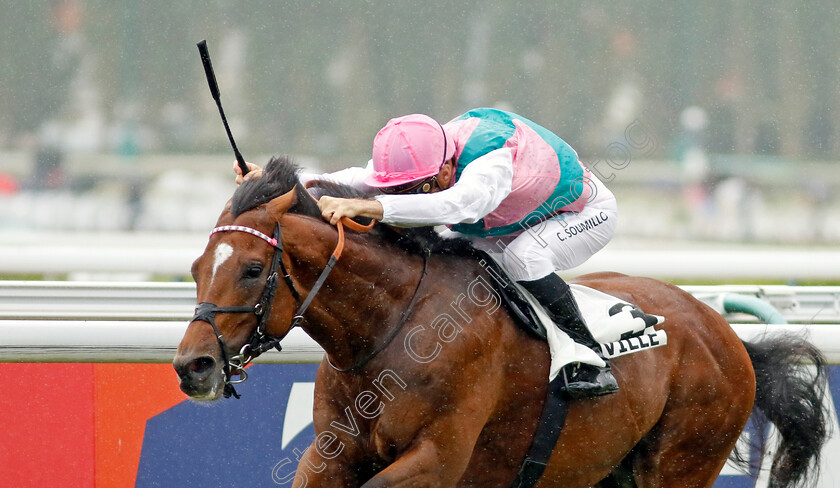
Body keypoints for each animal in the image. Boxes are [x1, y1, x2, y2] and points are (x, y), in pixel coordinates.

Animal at [172, 158, 828, 486]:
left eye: (253, 269)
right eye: (197, 266)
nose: (193, 366)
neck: (392, 328)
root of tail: (730, 338)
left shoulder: (440, 457)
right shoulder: (332, 454)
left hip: (683, 462)